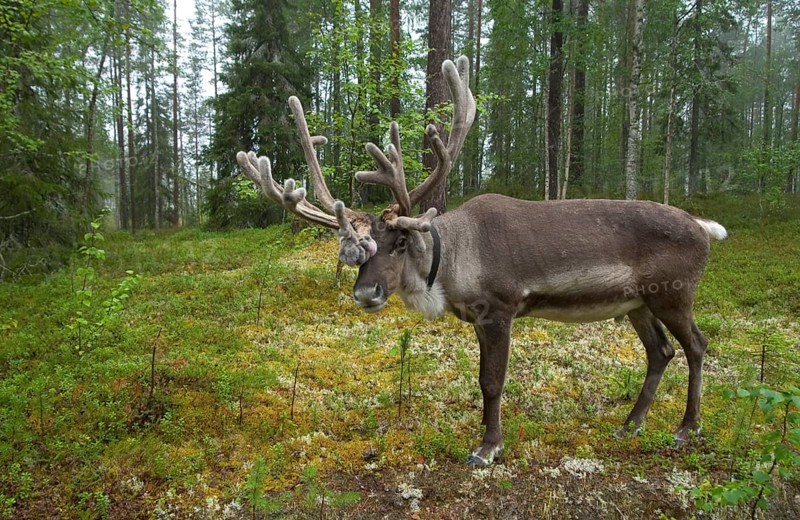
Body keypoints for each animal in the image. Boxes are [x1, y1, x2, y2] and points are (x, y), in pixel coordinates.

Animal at [235, 56, 727, 467]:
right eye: (359, 250)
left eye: (400, 241)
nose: (365, 292)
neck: (451, 265)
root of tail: (703, 226)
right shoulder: (476, 317)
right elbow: (480, 378)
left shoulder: (500, 309)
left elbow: (492, 382)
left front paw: (487, 447)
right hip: (638, 303)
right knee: (661, 351)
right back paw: (631, 424)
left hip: (674, 294)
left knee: (697, 346)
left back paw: (687, 427)